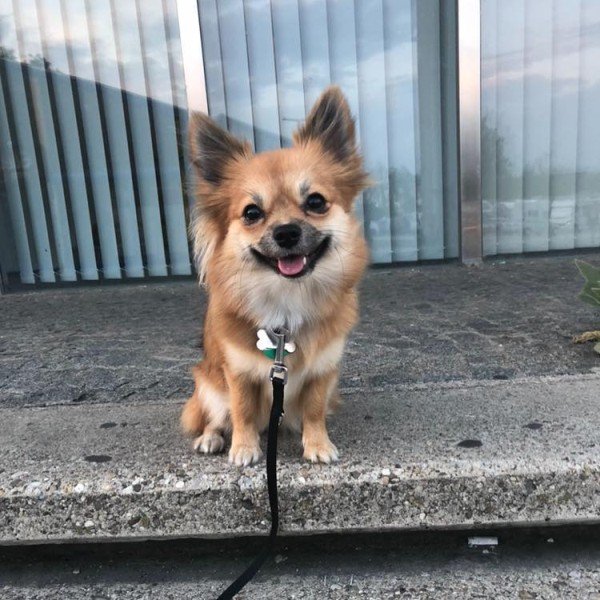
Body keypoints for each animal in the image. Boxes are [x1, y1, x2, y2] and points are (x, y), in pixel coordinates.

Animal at [180, 86, 370, 466]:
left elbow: (314, 410)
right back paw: (211, 438)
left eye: (315, 202)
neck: (287, 299)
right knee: (215, 416)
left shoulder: (323, 372)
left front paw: (317, 444)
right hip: (207, 384)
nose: (286, 232)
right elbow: (241, 410)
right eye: (252, 213)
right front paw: (244, 448)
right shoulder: (237, 373)